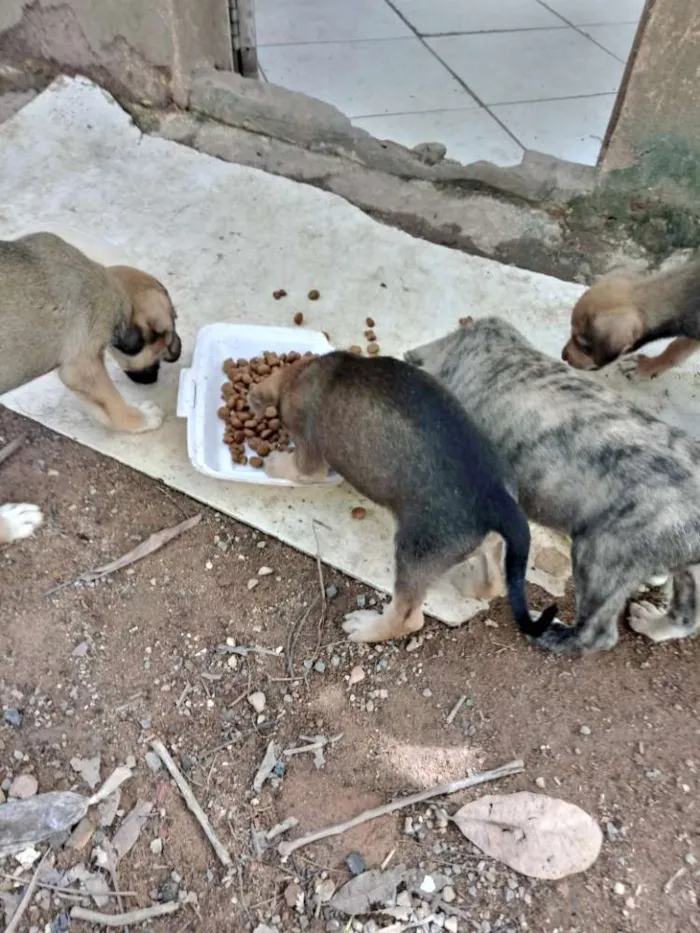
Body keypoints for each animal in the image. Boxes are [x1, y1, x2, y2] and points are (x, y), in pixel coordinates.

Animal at [249, 348, 556, 640]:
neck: (305, 372)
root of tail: (499, 502)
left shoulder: (309, 455)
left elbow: (299, 470)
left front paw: (273, 463)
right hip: (481, 544)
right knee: (494, 580)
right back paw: (468, 583)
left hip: (413, 554)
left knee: (407, 618)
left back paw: (366, 628)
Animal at [404, 316, 700, 652]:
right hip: (680, 564)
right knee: (688, 613)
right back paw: (653, 621)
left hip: (602, 553)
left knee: (597, 633)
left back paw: (550, 634)